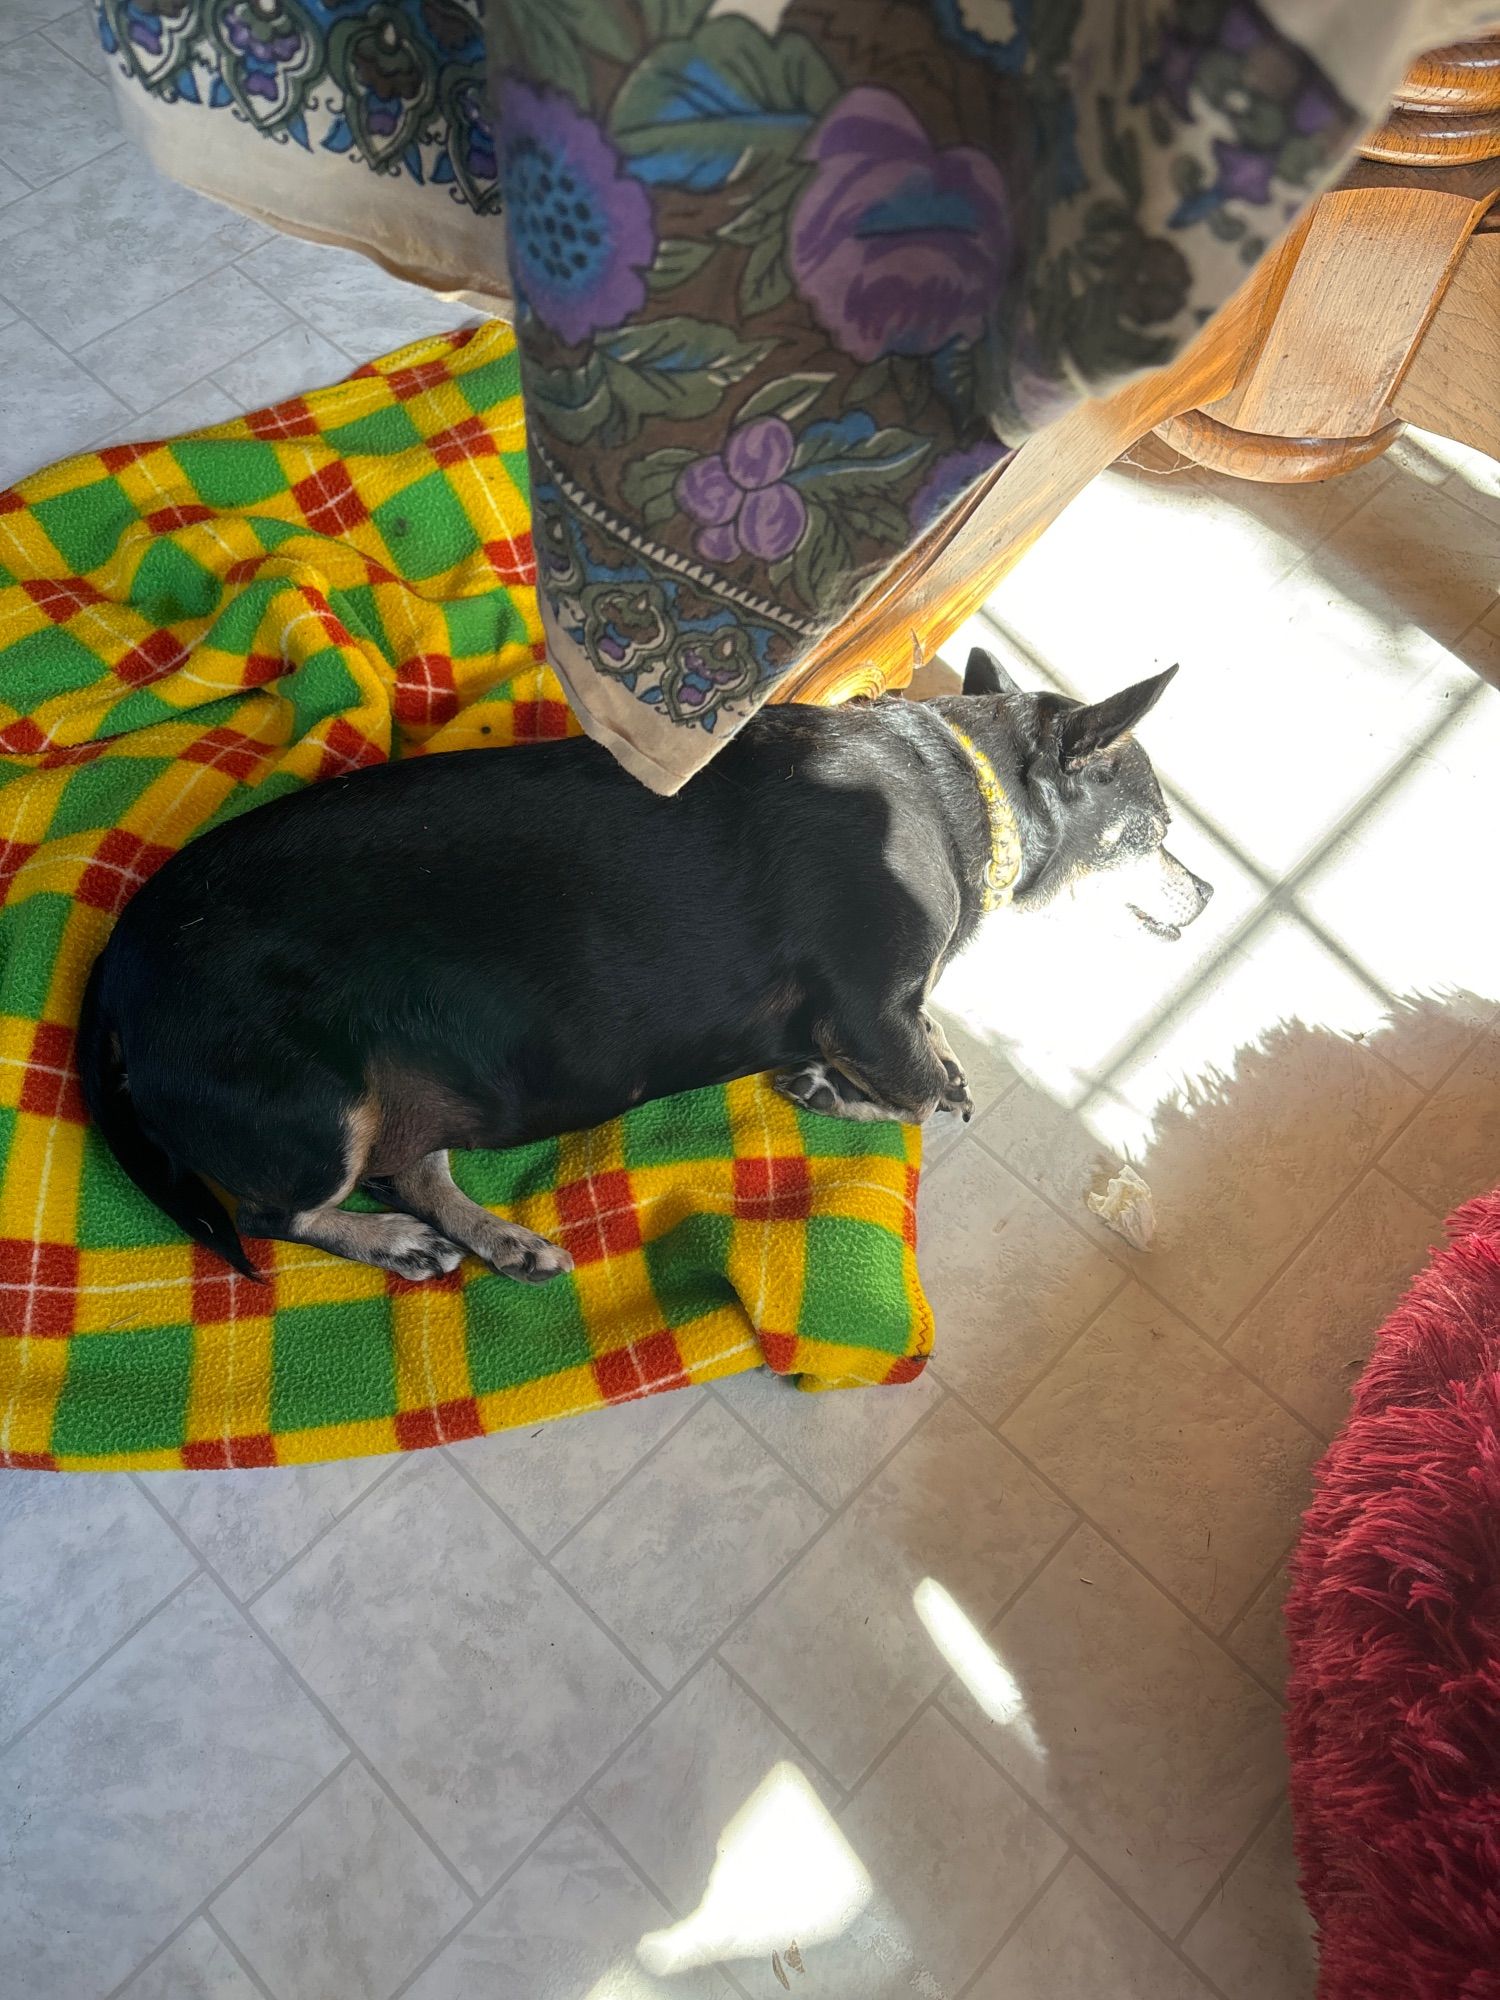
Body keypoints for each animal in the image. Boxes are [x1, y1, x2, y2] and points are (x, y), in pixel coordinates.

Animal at [79, 648, 1208, 1288]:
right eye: (1154, 834)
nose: (1204, 896)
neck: (960, 793)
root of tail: (121, 962)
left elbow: (925, 1071)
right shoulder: (867, 1011)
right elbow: (926, 1095)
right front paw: (853, 1088)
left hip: (399, 1090)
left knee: (418, 1165)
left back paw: (492, 1235)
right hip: (322, 1110)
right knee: (276, 1215)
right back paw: (390, 1242)